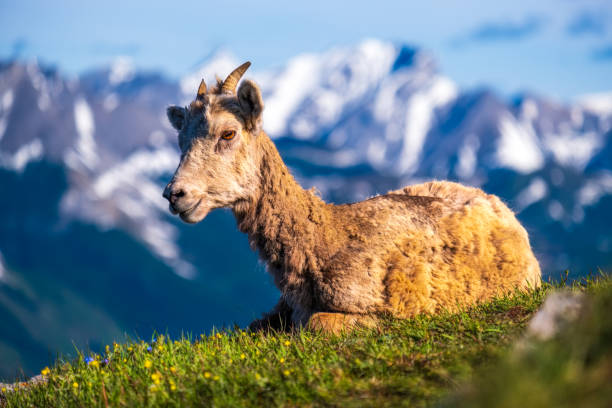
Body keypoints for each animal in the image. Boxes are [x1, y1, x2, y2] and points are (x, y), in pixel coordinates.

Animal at [163, 62, 540, 334]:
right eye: (180, 140)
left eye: (228, 133)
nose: (174, 194)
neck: (323, 242)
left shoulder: (382, 310)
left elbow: (317, 326)